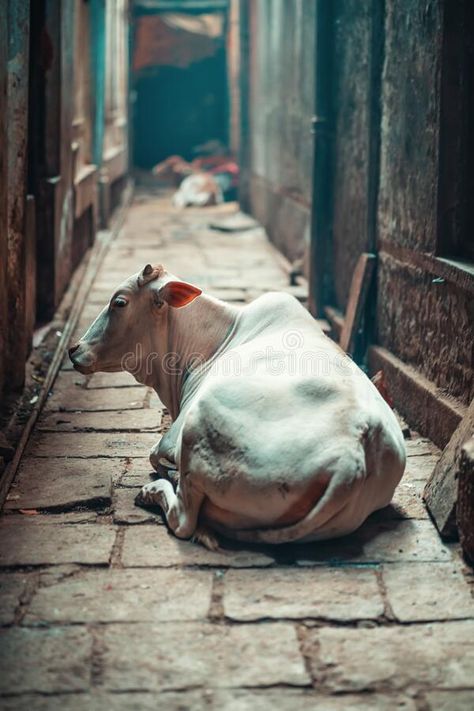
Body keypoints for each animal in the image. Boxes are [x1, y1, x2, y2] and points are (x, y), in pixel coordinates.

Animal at [68, 264, 406, 548]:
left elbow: (154, 456)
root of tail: (351, 455)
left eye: (119, 302)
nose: (73, 349)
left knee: (184, 520)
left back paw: (153, 492)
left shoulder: (171, 437)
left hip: (197, 428)